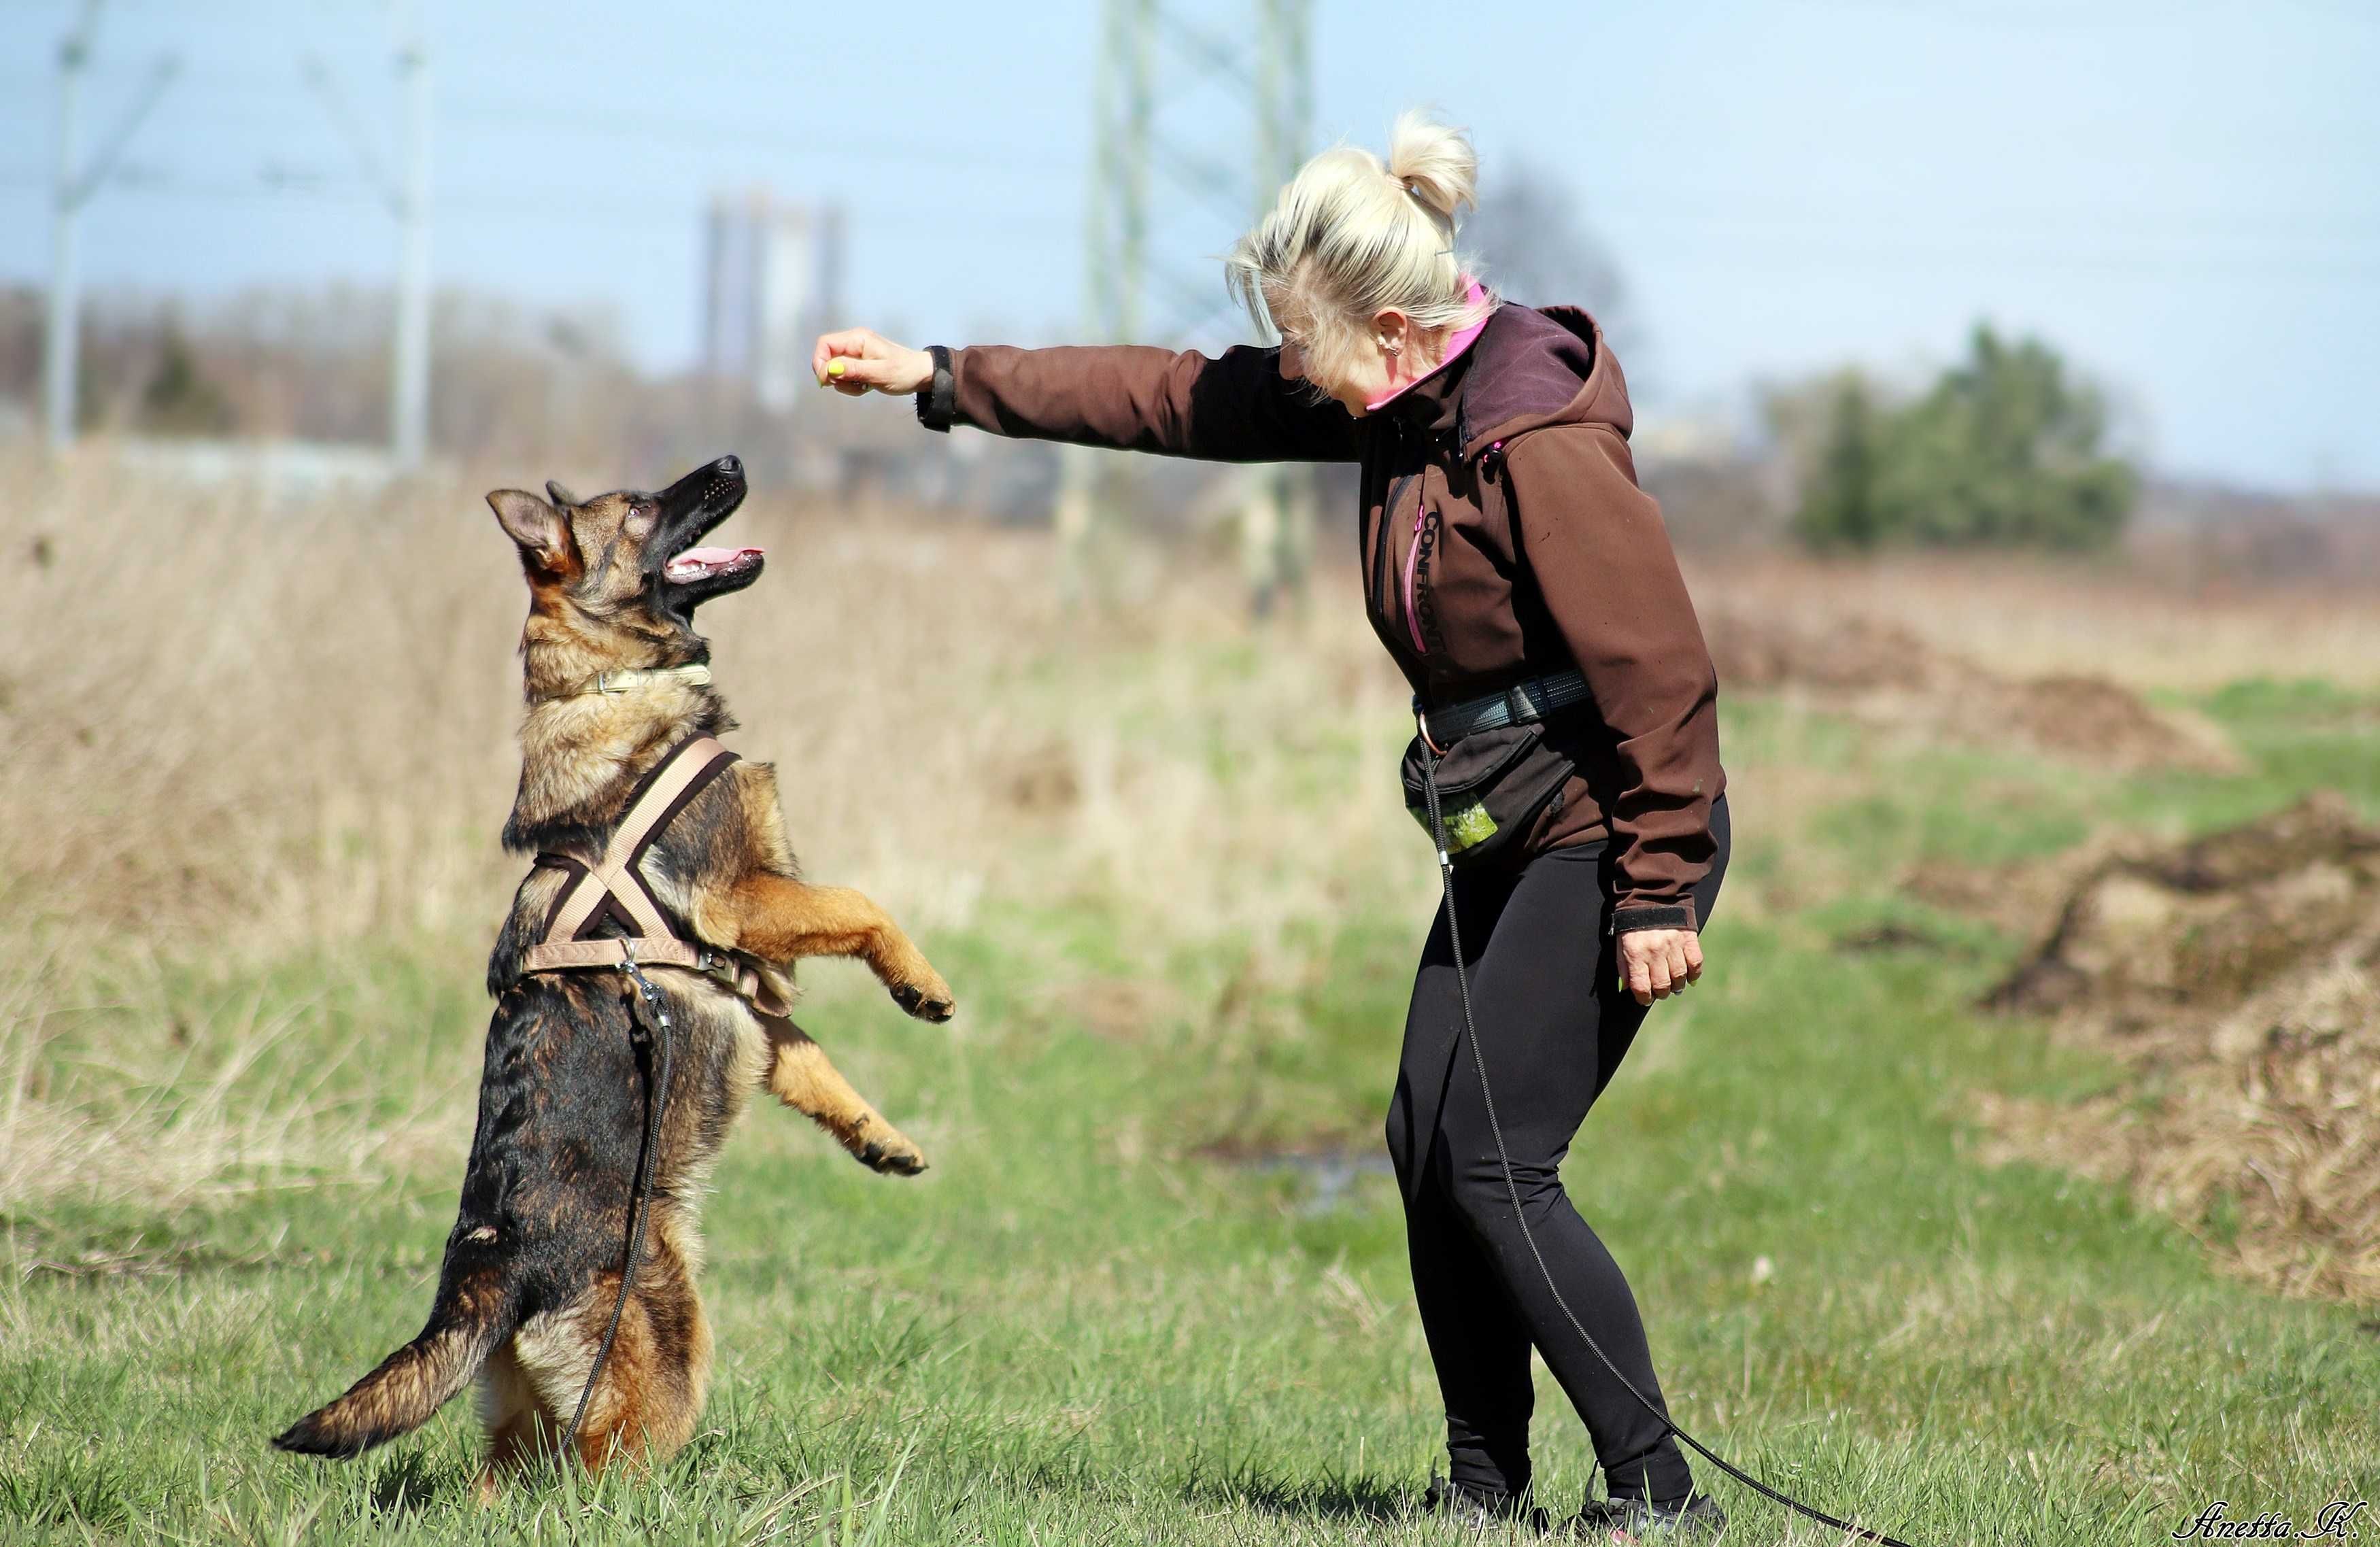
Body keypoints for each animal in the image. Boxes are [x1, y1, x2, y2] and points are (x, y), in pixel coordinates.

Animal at [273, 454, 952, 1485]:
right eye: (637, 507)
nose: (732, 462)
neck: (612, 678)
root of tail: (496, 1269)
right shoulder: (742, 898)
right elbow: (864, 903)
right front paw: (922, 985)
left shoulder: (744, 986)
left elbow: (813, 1064)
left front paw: (883, 1140)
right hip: (665, 1344)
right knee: (601, 1476)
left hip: (520, 1417)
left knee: (506, 1481)